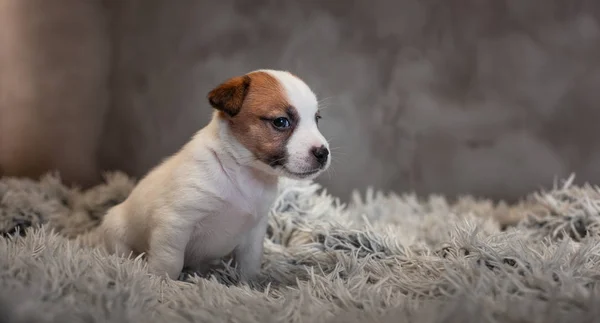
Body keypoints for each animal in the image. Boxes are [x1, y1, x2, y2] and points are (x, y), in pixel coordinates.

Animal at [88, 69, 330, 282]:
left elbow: (250, 264)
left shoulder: (254, 231)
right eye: (280, 122)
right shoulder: (174, 225)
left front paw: (250, 287)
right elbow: (169, 264)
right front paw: (163, 285)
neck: (243, 173)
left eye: (317, 119)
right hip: (117, 235)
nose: (323, 153)